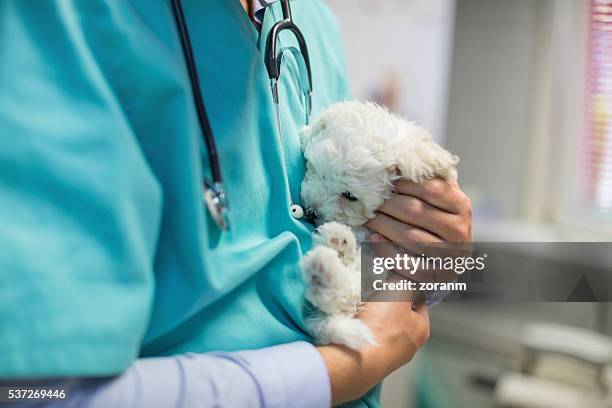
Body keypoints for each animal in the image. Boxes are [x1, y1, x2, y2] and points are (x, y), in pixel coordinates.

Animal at [298, 100, 456, 350]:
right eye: (316, 169)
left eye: (349, 196)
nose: (312, 212)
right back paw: (337, 243)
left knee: (346, 297)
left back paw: (326, 266)